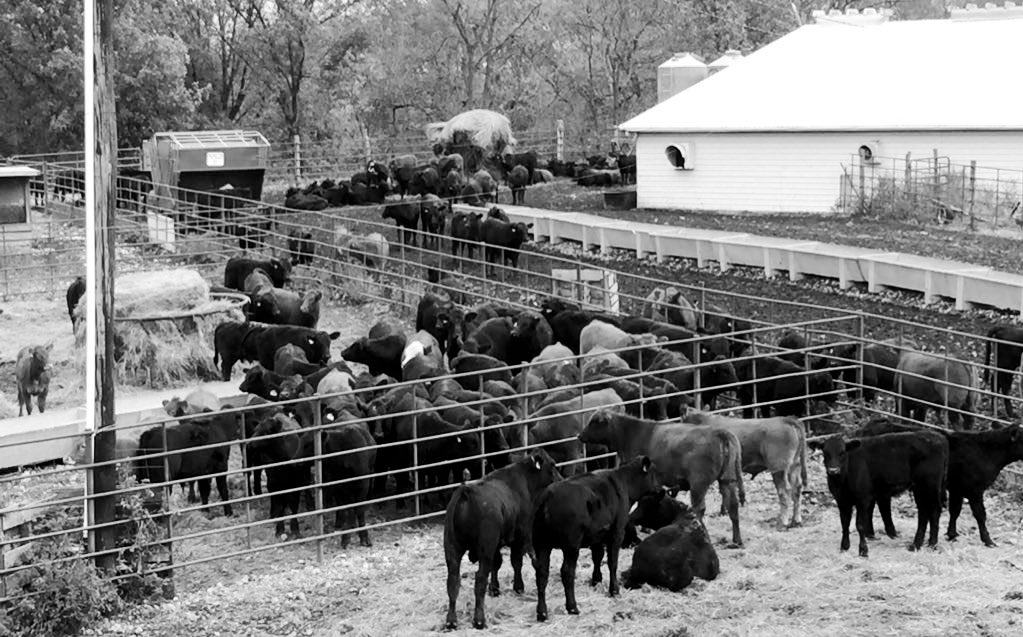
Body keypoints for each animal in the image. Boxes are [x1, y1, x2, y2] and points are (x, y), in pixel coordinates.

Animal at [443, 450, 562, 630]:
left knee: (453, 581)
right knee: (480, 579)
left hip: (452, 548)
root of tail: (466, 491)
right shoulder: (521, 535)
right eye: (553, 464)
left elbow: (497, 564)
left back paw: (451, 620)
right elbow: (516, 562)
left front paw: (495, 589)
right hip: (484, 548)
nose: (560, 479)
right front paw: (518, 587)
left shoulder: (497, 544)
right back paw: (479, 619)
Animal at [532, 456, 661, 622]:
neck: (624, 483)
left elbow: (597, 557)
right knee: (567, 572)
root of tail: (548, 495)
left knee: (541, 574)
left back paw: (542, 612)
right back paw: (572, 607)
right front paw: (614, 590)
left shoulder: (597, 535)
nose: (662, 489)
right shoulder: (617, 532)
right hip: (571, 545)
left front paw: (596, 580)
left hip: (541, 543)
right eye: (654, 473)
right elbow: (612, 562)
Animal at [579, 411, 745, 547]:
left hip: (699, 483)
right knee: (733, 505)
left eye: (594, 422)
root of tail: (721, 433)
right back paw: (737, 540)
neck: (634, 433)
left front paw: (645, 527)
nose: (579, 436)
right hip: (727, 479)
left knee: (699, 508)